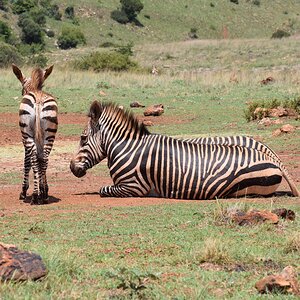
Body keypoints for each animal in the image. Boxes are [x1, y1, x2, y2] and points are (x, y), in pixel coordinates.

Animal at [12, 63, 58, 204]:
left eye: (22, 90)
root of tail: (37, 99)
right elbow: (40, 159)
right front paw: (44, 190)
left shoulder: (24, 139)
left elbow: (27, 162)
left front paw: (24, 191)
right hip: (49, 135)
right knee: (45, 159)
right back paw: (43, 196)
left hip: (27, 135)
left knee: (32, 159)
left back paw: (34, 196)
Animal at [69, 101, 298, 199]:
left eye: (82, 138)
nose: (71, 167)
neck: (128, 148)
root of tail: (273, 159)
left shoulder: (133, 187)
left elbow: (103, 190)